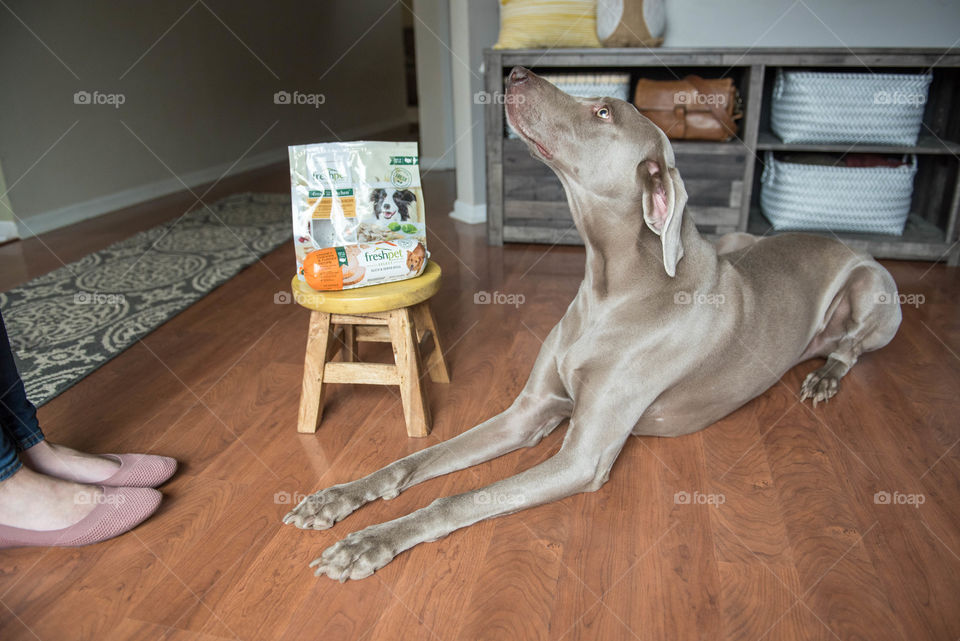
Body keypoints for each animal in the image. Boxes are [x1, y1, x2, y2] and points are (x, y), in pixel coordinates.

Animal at [282, 67, 904, 584]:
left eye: (603, 111)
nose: (515, 71)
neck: (613, 287)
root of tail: (836, 236)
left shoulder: (581, 458)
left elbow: (455, 499)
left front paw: (371, 541)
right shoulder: (528, 413)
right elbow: (413, 461)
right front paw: (339, 498)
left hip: (875, 290)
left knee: (852, 346)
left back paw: (825, 376)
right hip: (739, 238)